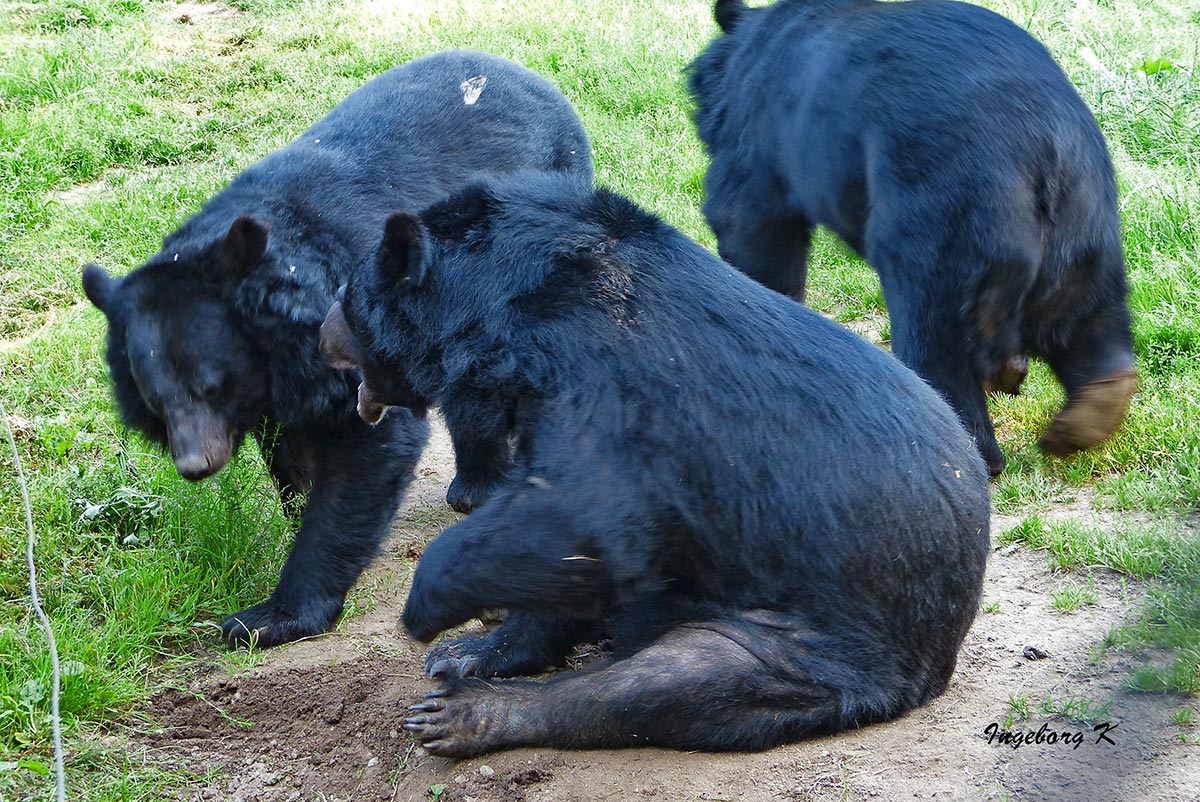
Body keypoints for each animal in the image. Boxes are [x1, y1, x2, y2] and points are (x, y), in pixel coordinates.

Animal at [79, 50, 595, 648]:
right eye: (156, 401)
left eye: (210, 386)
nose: (195, 464)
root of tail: (533, 77)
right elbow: (295, 454)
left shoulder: (353, 323)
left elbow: (368, 443)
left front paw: (269, 617)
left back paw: (480, 488)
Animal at [319, 172, 993, 753]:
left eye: (347, 297)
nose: (324, 336)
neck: (505, 315)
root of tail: (940, 654)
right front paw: (474, 646)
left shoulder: (603, 390)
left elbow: (585, 516)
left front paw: (432, 616)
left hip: (826, 640)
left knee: (677, 680)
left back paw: (469, 715)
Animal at [691, 0, 1137, 475]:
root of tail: (1041, 146)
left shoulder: (763, 129)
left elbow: (750, 221)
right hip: (1084, 225)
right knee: (1086, 315)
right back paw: (1092, 408)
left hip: (944, 218)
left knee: (935, 336)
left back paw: (965, 446)